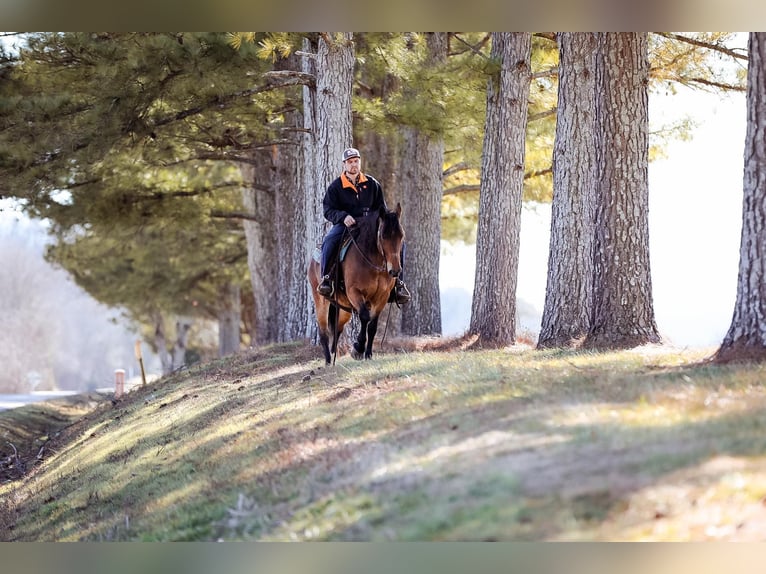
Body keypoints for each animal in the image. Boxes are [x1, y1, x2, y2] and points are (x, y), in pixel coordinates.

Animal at [308, 202, 408, 364]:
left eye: (401, 235)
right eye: (383, 235)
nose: (395, 271)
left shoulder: (381, 297)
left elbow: (372, 326)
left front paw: (368, 354)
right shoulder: (354, 292)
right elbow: (365, 317)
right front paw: (358, 349)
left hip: (344, 309)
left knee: (337, 328)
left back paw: (334, 355)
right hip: (321, 301)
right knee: (323, 331)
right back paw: (328, 361)